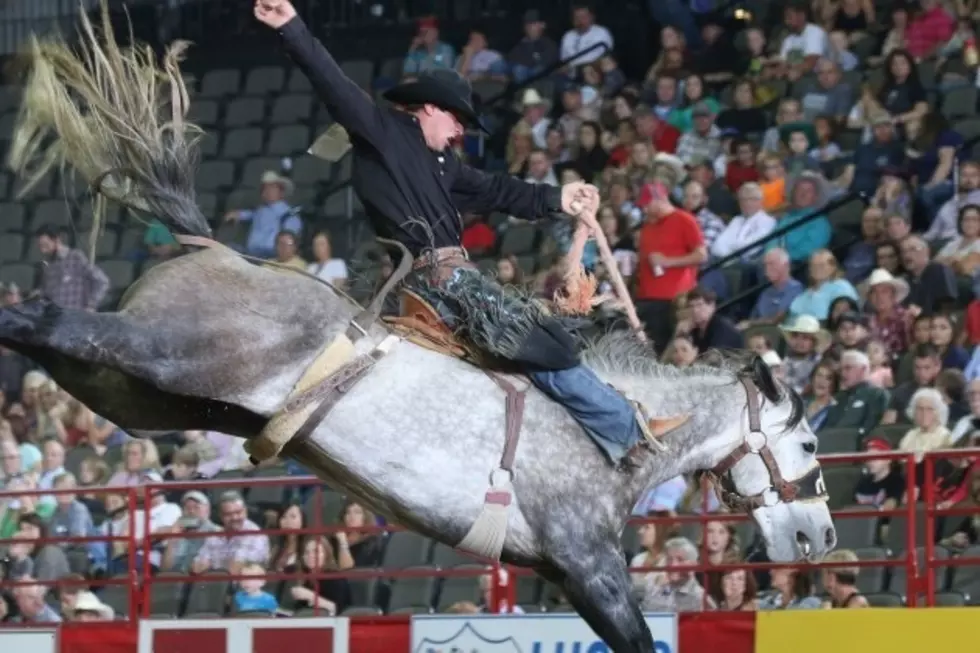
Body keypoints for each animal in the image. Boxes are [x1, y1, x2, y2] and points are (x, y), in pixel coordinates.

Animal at [1, 6, 836, 652]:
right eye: (807, 442)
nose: (822, 540)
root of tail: (214, 246)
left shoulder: (565, 572)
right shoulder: (589, 562)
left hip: (136, 389)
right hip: (156, 356)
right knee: (41, 318)